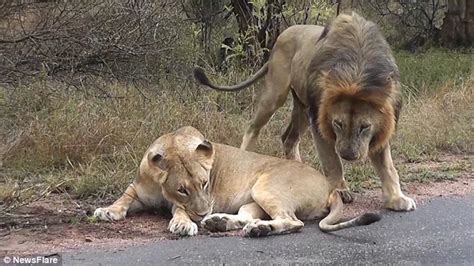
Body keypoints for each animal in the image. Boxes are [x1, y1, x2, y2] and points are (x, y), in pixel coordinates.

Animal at [94, 127, 380, 237]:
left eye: (205, 183)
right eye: (182, 189)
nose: (202, 213)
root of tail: (331, 187)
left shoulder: (181, 204)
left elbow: (178, 212)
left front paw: (183, 224)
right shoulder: (138, 187)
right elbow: (124, 197)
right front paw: (107, 211)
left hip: (265, 187)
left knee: (293, 222)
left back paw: (256, 230)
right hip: (254, 199)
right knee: (248, 217)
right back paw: (220, 222)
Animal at [193, 13, 414, 212]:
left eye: (365, 127)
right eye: (338, 124)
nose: (348, 155)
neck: (357, 70)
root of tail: (282, 35)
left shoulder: (381, 128)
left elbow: (388, 168)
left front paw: (397, 199)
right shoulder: (320, 120)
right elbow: (333, 163)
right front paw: (340, 190)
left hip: (302, 108)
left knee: (289, 138)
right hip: (276, 94)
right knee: (253, 128)